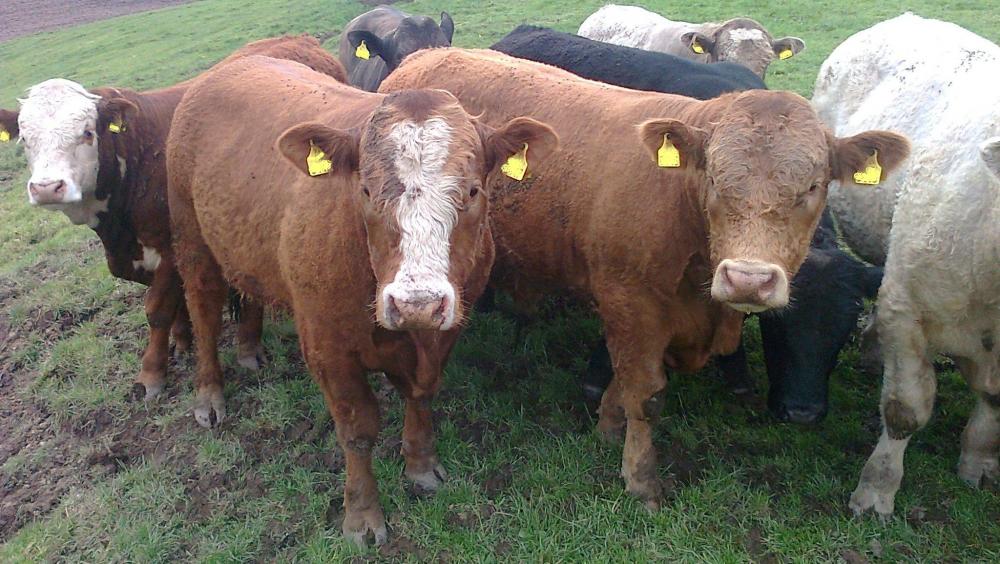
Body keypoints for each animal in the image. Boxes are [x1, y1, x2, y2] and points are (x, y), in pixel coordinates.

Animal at [0, 35, 347, 408]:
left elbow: (158, 310)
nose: (46, 188)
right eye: (25, 139)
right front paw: (181, 343)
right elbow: (177, 306)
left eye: (87, 133)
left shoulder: (169, 247)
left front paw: (152, 373)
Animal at [166, 55, 556, 545]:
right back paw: (209, 396)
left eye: (472, 191)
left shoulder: (444, 332)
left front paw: (421, 465)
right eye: (367, 191)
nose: (416, 303)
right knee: (202, 310)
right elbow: (357, 430)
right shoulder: (327, 350)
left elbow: (421, 395)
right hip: (191, 239)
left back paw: (250, 352)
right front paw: (363, 515)